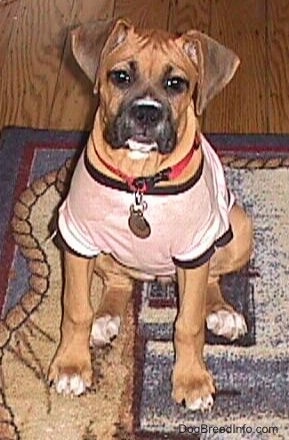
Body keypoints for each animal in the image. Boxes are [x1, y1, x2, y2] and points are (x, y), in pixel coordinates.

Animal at [49, 18, 252, 412]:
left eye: (177, 84)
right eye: (120, 76)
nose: (146, 112)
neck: (141, 180)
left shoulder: (193, 251)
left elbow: (188, 323)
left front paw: (191, 380)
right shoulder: (77, 239)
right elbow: (75, 309)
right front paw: (71, 366)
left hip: (237, 228)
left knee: (211, 278)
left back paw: (221, 312)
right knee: (118, 282)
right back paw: (105, 317)